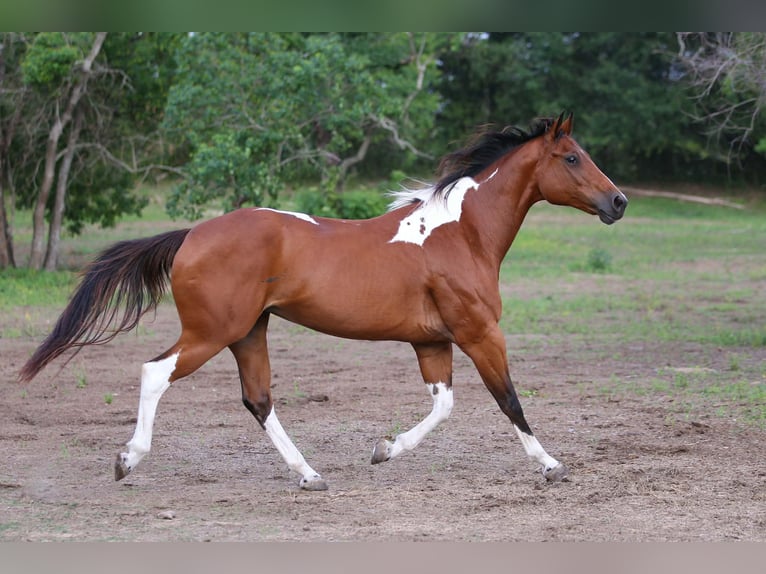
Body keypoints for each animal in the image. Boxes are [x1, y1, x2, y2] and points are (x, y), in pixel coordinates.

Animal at [19, 113, 627, 491]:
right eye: (571, 158)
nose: (618, 202)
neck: (460, 233)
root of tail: (192, 235)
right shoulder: (479, 334)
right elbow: (510, 401)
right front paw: (551, 466)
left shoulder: (431, 342)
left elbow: (443, 406)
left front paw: (384, 450)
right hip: (212, 333)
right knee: (156, 372)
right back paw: (127, 460)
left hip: (249, 333)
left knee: (258, 400)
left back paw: (310, 475)